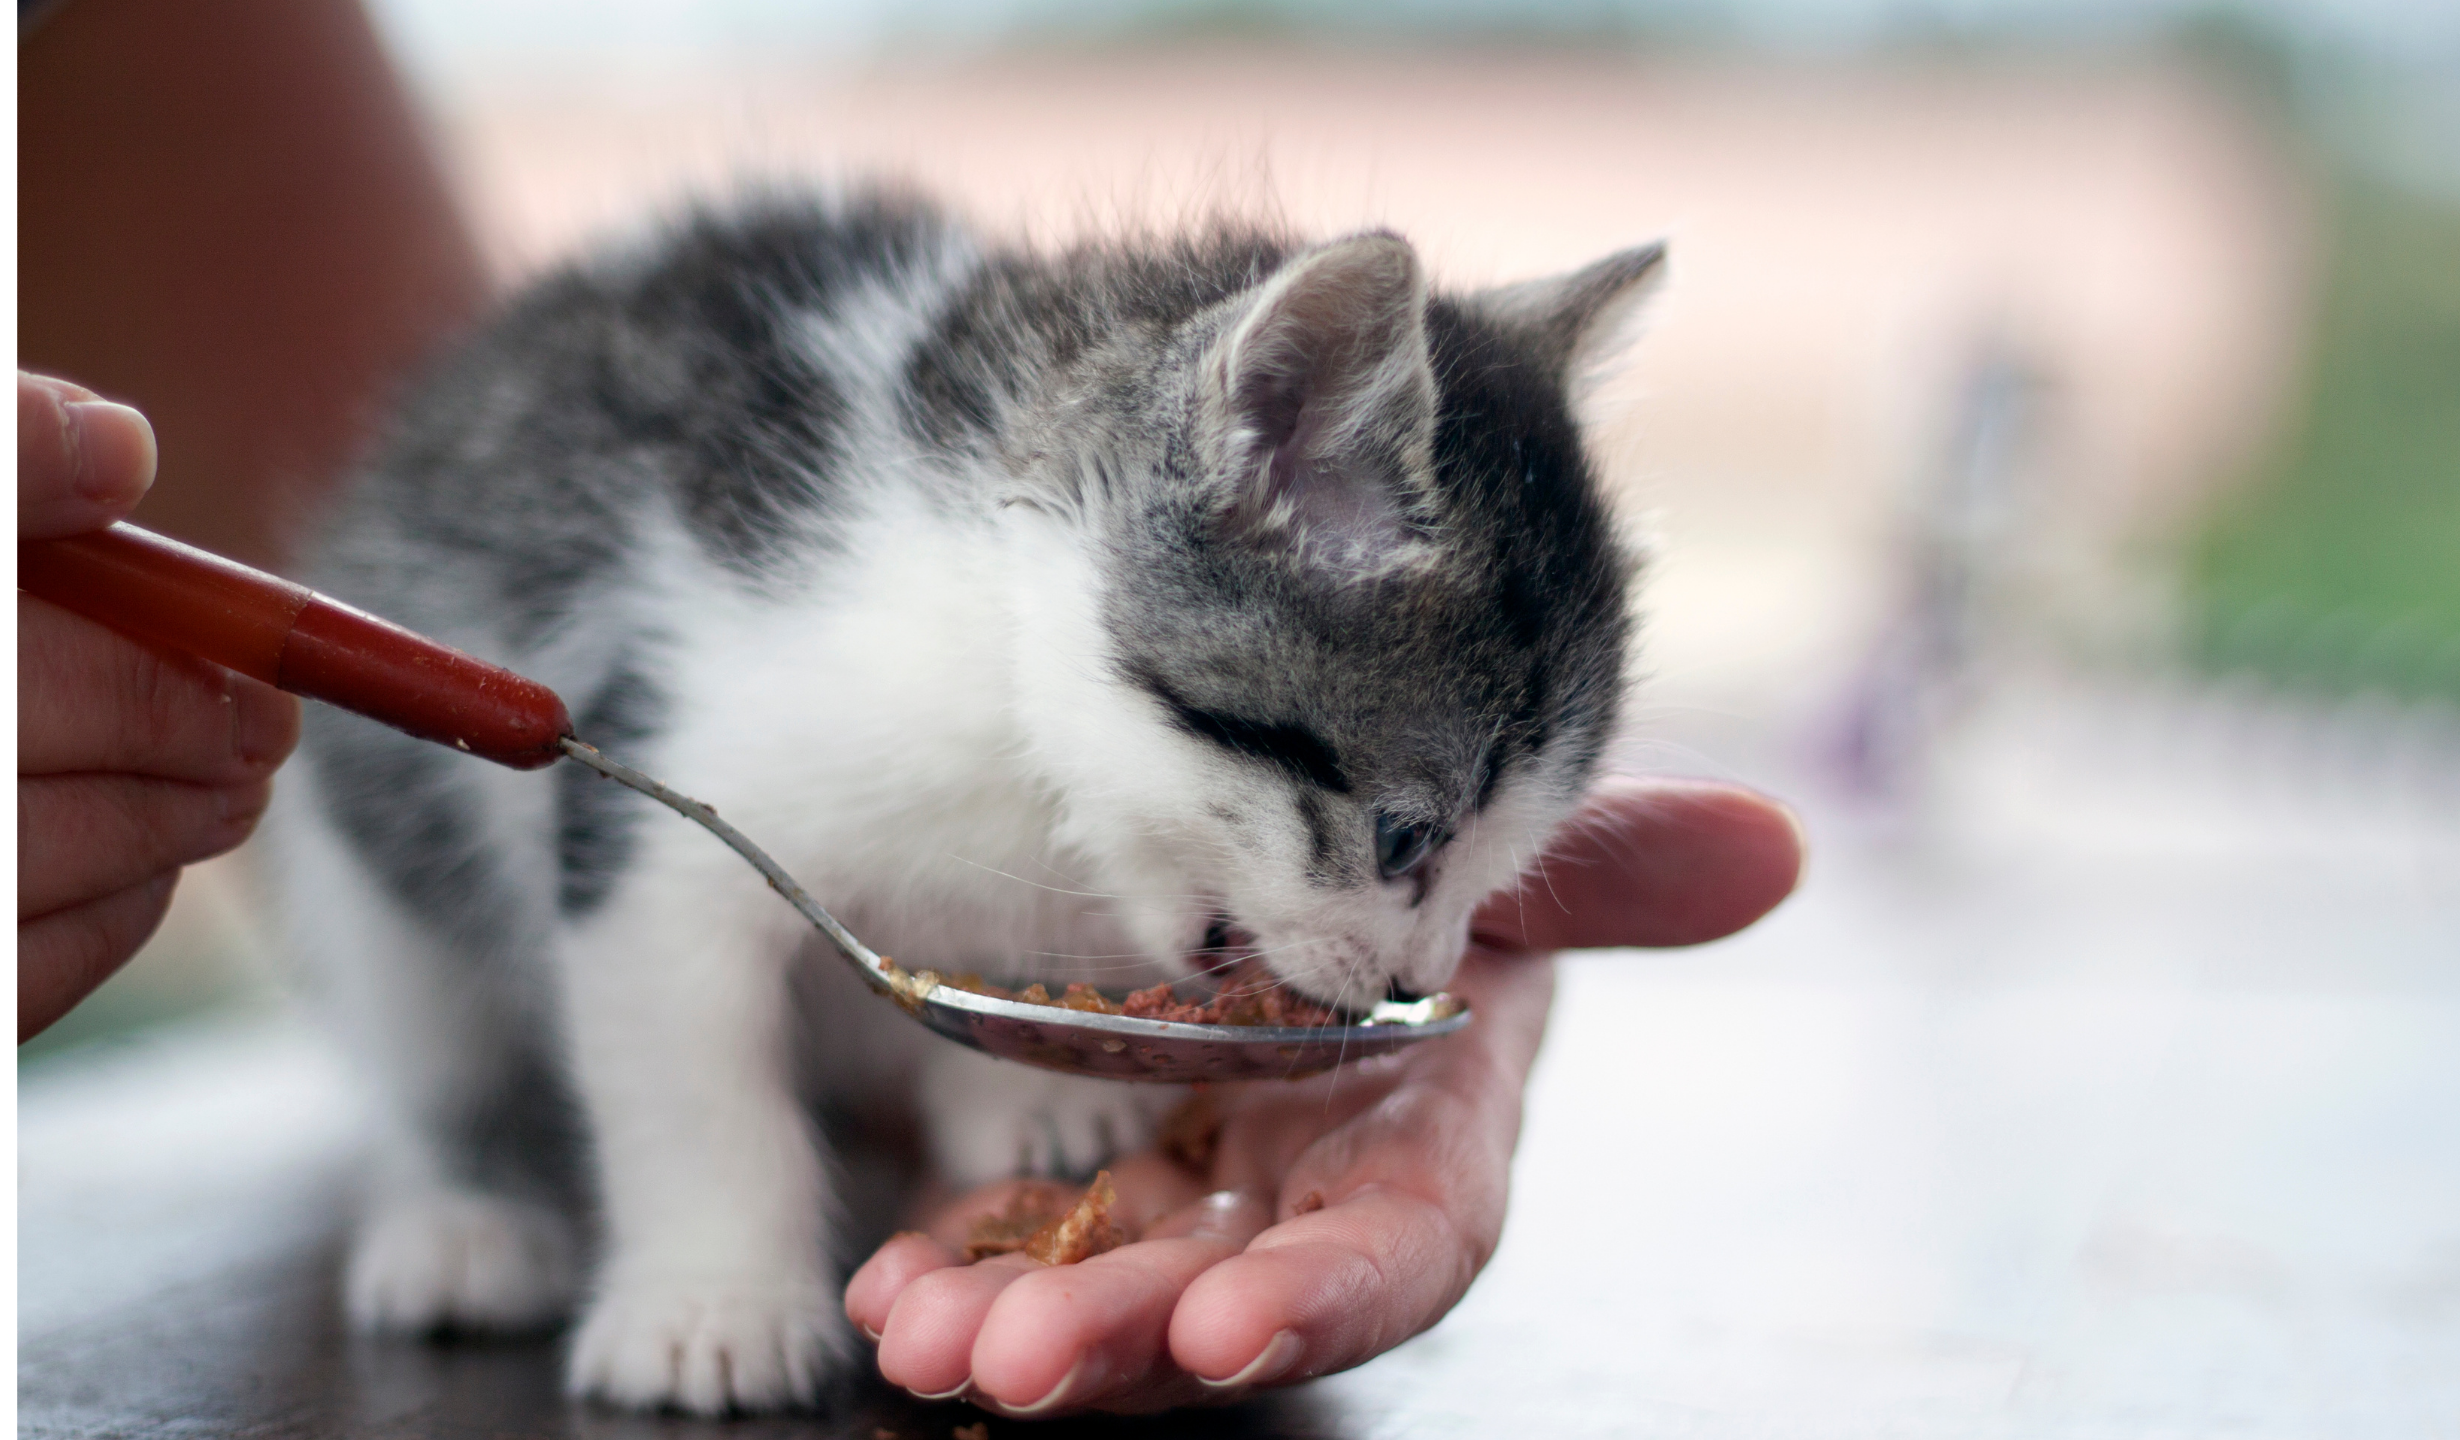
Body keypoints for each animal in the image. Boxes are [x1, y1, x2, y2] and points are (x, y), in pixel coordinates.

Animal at [264, 185, 1653, 1408]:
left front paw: (1035, 1090)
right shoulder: (654, 789)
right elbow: (689, 1082)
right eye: (1404, 835)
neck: (1009, 711)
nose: (1421, 975)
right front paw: (713, 1304)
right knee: (428, 1039)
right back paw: (468, 1215)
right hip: (366, 856)